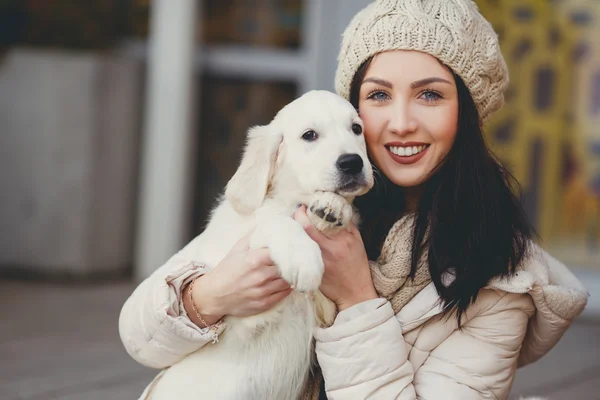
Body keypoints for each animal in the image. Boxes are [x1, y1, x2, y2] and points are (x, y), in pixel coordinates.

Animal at [144, 90, 370, 400]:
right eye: (309, 135)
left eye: (356, 129)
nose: (352, 162)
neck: (291, 199)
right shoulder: (245, 316)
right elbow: (272, 221)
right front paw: (303, 258)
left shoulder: (328, 312)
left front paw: (333, 208)